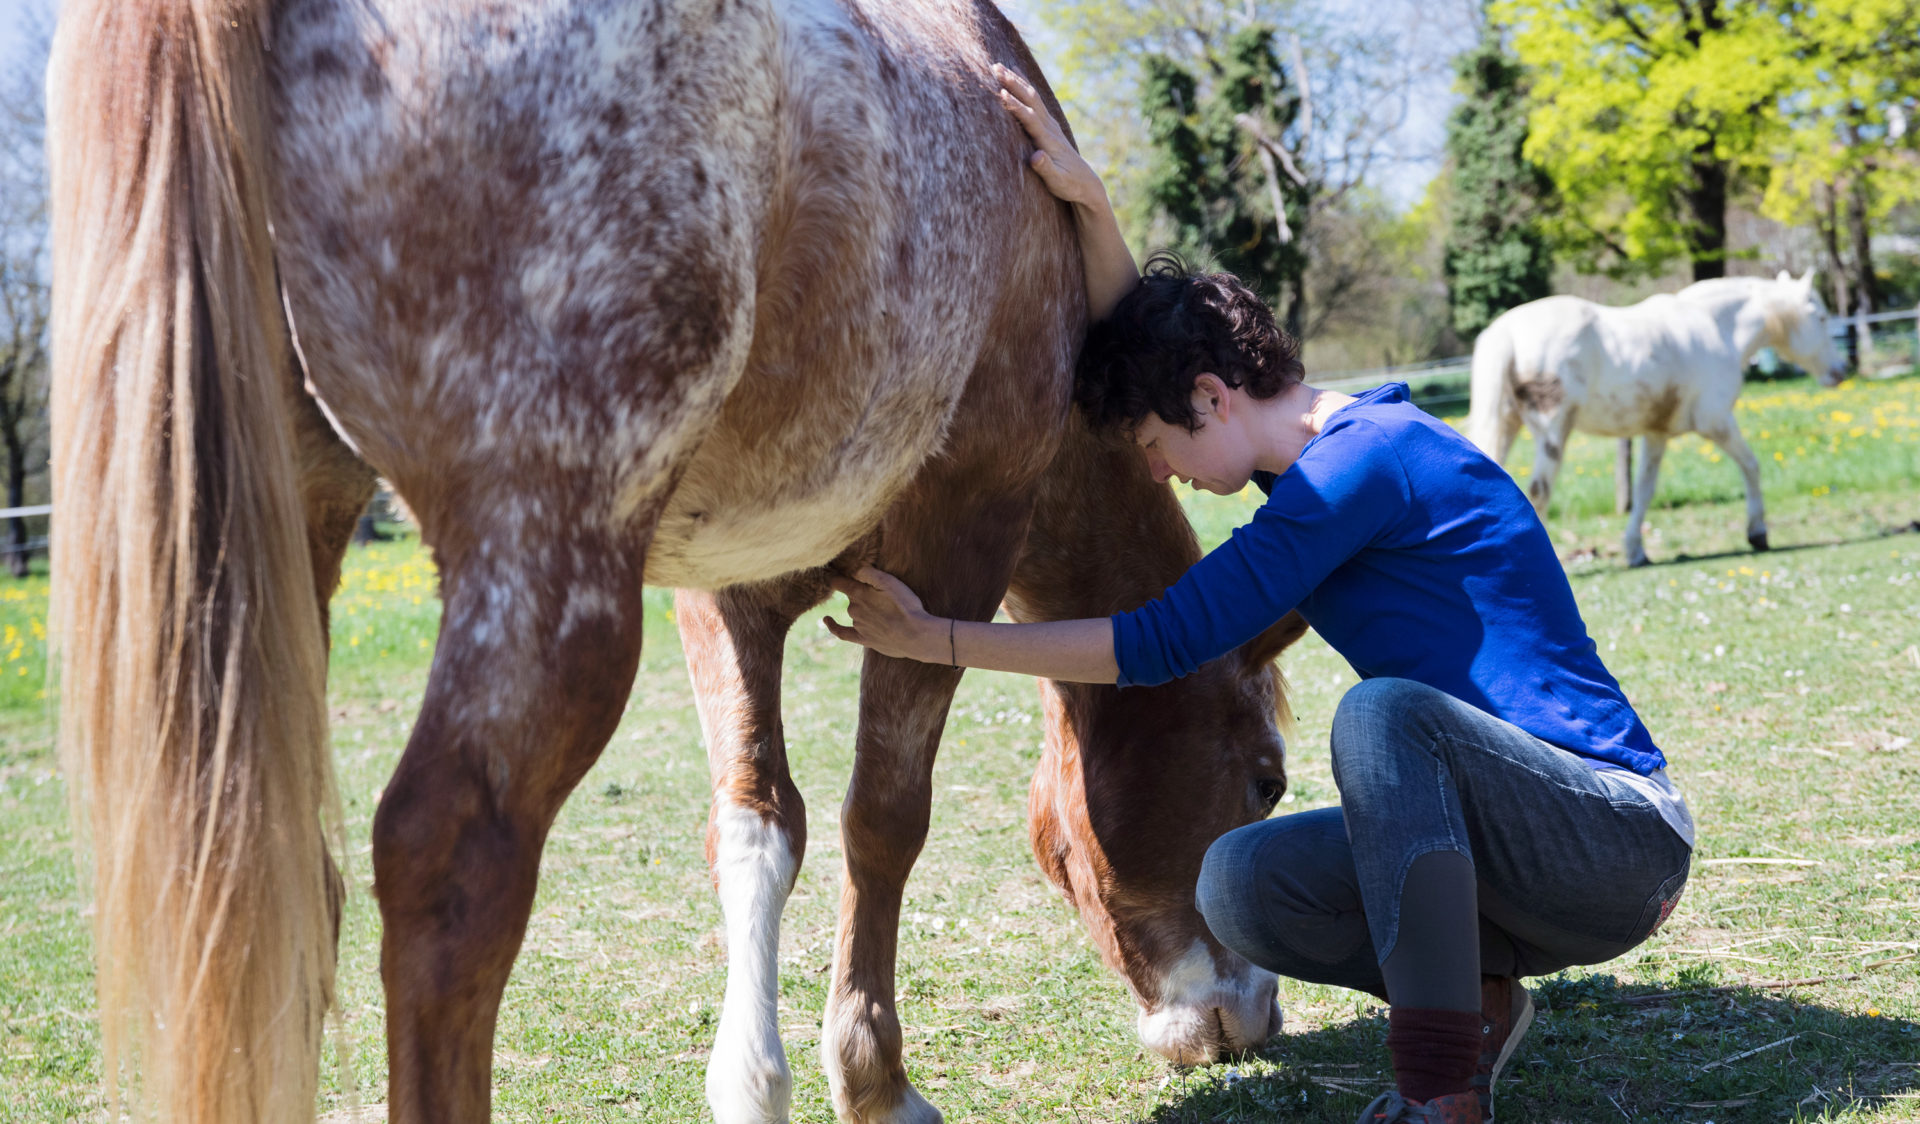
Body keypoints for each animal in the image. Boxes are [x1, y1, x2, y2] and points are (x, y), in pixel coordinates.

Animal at [52, 0, 1297, 1114]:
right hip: (551, 573)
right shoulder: (957, 539)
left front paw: (753, 1080)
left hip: (294, 543)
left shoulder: (722, 591)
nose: (1250, 1016)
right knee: (449, 865)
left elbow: (757, 819)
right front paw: (873, 1079)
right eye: (1267, 777)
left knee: (280, 876)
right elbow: (884, 818)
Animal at [1466, 268, 1843, 564]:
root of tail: (1507, 331)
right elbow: (1751, 466)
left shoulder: (1655, 434)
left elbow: (1644, 491)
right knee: (1539, 492)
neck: (1716, 328)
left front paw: (1635, 550)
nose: (1841, 370)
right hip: (1553, 431)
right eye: (1822, 318)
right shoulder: (1716, 421)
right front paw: (1757, 532)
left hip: (1507, 425)